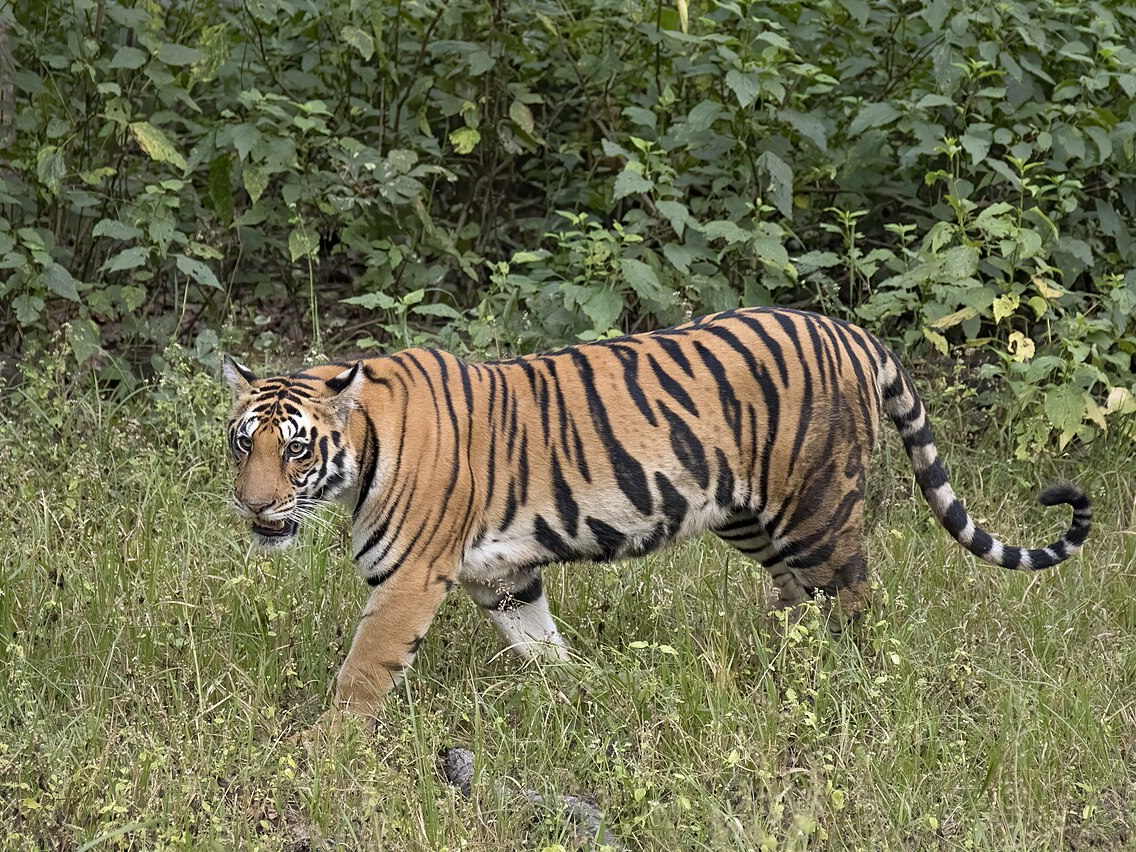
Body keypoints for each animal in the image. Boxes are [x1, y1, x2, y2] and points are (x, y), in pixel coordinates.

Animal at [222, 306, 1091, 719]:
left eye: (295, 450)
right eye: (242, 444)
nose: (254, 506)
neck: (361, 451)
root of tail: (850, 331)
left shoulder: (408, 580)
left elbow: (364, 670)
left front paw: (330, 749)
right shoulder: (502, 575)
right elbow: (539, 643)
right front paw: (579, 692)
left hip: (817, 509)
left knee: (855, 601)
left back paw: (852, 683)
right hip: (752, 517)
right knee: (798, 598)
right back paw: (777, 666)